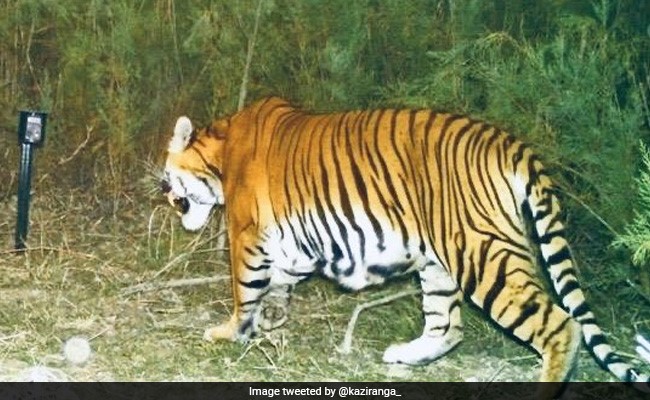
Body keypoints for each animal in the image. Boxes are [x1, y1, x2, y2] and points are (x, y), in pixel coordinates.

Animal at [161, 96, 649, 398]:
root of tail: (509, 143)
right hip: (440, 261)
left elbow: (245, 290)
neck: (220, 153)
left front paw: (231, 332)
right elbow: (278, 286)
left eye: (169, 178)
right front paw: (271, 324)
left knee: (560, 324)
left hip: (480, 252)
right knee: (447, 325)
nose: (165, 194)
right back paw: (405, 355)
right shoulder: (292, 245)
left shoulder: (246, 235)